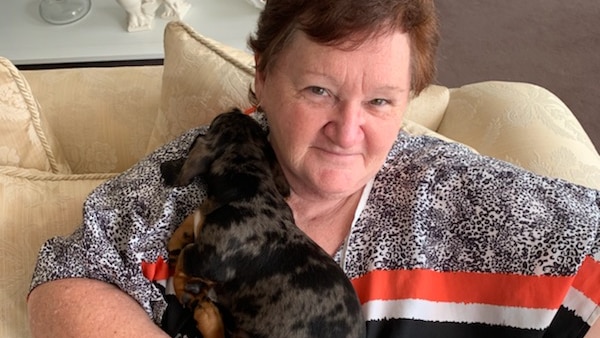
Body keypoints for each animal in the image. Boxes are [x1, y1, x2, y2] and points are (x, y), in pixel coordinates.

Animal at [161, 109, 366, 338]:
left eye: (215, 121)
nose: (236, 109)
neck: (250, 184)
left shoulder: (209, 259)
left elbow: (186, 254)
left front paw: (184, 287)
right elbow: (190, 224)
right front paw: (178, 243)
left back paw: (205, 313)